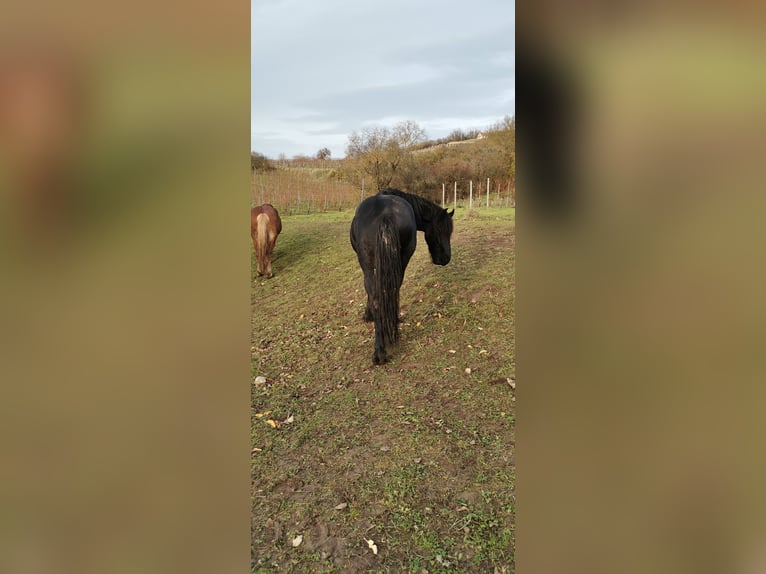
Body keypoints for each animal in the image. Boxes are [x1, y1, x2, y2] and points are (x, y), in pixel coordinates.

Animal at [350, 190, 452, 368]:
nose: (446, 258)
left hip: (369, 263)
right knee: (394, 288)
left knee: (378, 296)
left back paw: (380, 352)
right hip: (402, 258)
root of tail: (386, 214)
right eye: (439, 231)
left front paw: (368, 315)